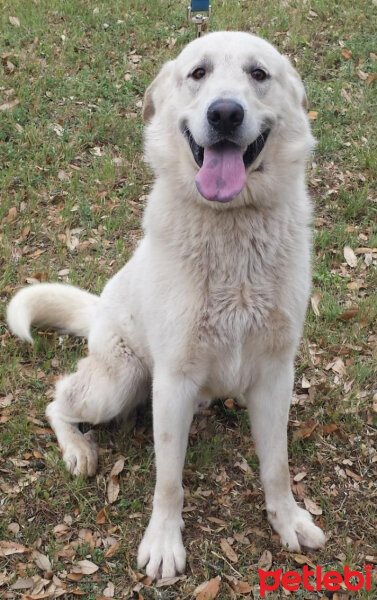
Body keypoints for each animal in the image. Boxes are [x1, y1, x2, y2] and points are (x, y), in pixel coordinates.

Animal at [6, 30, 324, 580]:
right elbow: (168, 480)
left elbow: (278, 467)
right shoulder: (172, 381)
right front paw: (163, 542)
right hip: (117, 382)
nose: (225, 113)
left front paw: (287, 521)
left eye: (258, 74)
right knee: (56, 399)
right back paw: (78, 448)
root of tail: (99, 309)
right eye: (198, 73)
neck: (230, 228)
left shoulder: (274, 376)